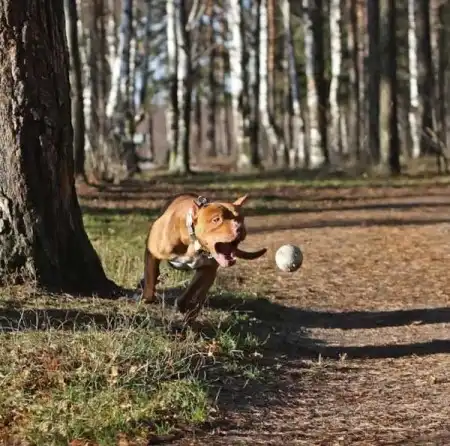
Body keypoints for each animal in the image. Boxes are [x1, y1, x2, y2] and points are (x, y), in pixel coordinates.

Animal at [141, 193, 267, 322]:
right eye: (216, 219)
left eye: (241, 219)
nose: (239, 227)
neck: (194, 243)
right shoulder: (152, 252)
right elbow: (150, 277)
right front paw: (147, 298)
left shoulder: (207, 270)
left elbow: (192, 289)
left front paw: (182, 305)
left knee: (200, 295)